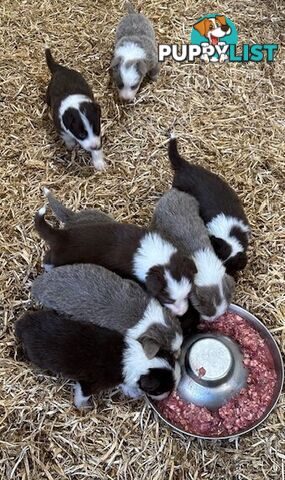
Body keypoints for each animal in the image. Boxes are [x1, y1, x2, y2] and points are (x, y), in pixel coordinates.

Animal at [15, 310, 180, 406]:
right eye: (159, 391)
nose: (167, 396)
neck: (142, 359)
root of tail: (23, 325)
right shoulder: (91, 383)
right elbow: (82, 395)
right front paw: (83, 407)